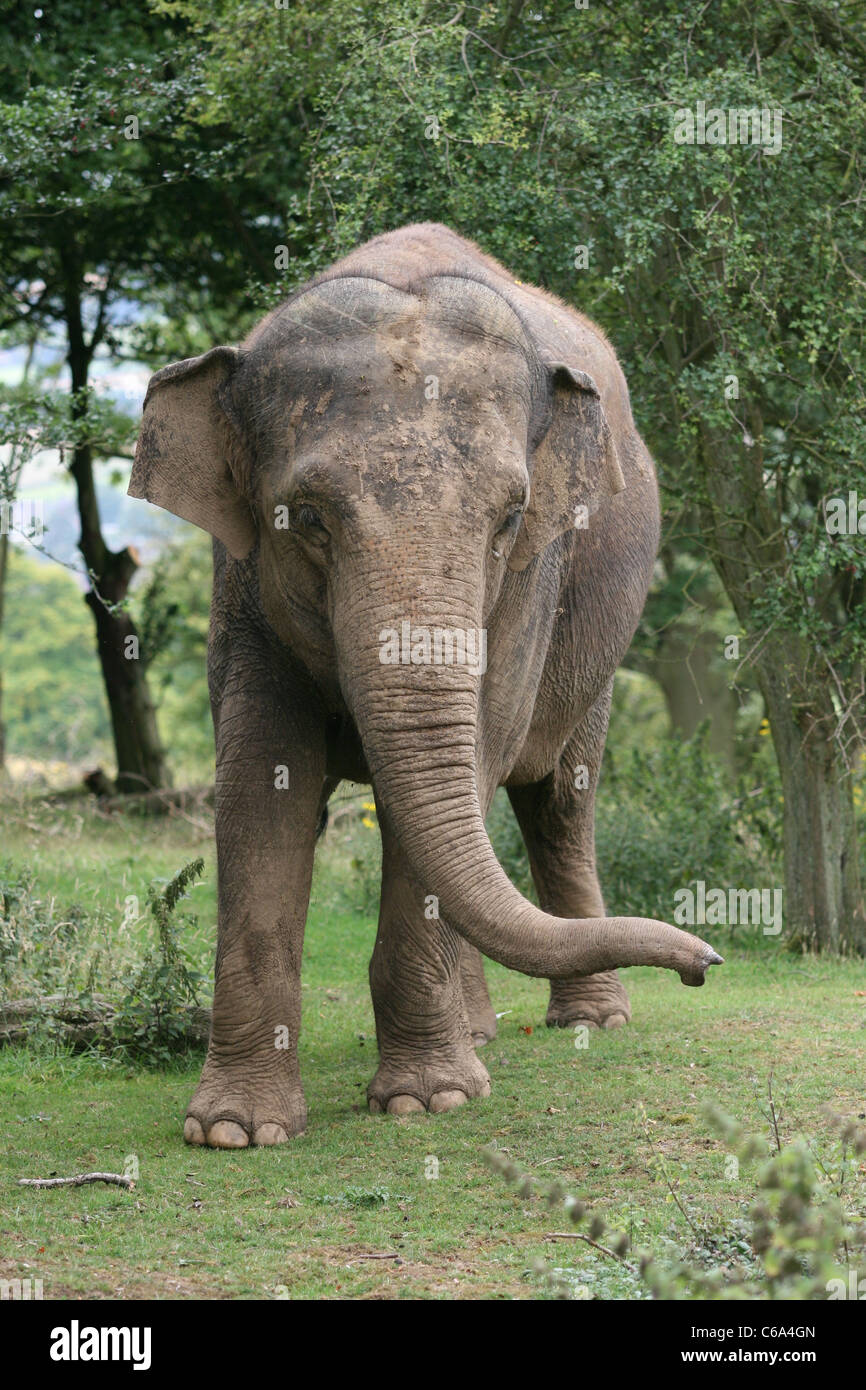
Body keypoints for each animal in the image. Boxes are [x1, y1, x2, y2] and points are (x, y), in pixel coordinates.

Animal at [129, 222, 721, 1148]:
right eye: (305, 518)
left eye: (509, 518)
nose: (706, 963)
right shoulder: (243, 578)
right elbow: (261, 774)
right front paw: (236, 1131)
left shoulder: (531, 582)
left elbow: (481, 750)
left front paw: (428, 1101)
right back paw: (476, 1032)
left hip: (595, 654)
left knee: (557, 799)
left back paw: (588, 1022)